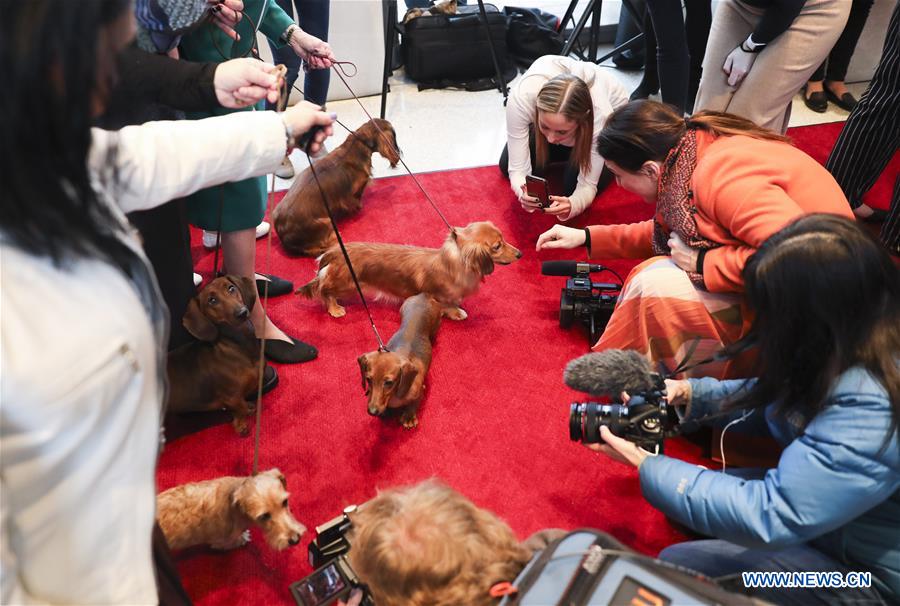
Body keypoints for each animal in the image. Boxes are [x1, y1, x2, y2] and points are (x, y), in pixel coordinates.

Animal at [166, 276, 262, 436]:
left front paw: (247, 409)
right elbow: (240, 408)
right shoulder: (231, 397)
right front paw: (241, 424)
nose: (242, 312)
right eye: (212, 300)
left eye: (231, 288)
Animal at [270, 119, 400, 258]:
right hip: (326, 222)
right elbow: (357, 199)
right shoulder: (357, 189)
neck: (356, 145)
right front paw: (359, 208)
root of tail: (282, 233)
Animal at [298, 222, 520, 318]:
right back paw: (335, 308)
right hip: (347, 284)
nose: (520, 254)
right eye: (497, 246)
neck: (454, 265)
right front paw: (457, 312)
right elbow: (448, 305)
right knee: (324, 290)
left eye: (503, 238)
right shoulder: (438, 296)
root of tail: (334, 251)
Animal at [356, 294, 444, 428]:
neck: (393, 396)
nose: (372, 411)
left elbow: (413, 404)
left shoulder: (420, 391)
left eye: (389, 382)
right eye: (368, 379)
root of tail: (424, 295)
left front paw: (409, 417)